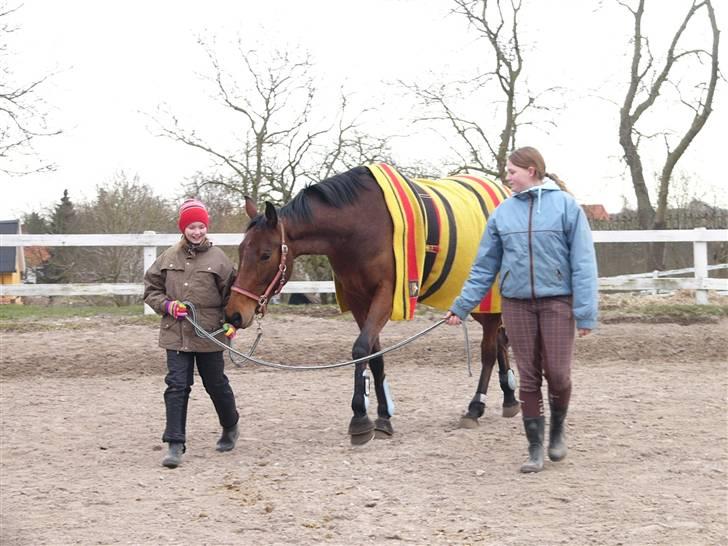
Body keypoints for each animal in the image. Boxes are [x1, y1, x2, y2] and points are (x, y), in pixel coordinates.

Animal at [225, 163, 520, 442]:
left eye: (265, 254)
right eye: (241, 249)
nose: (235, 313)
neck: (358, 225)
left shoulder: (387, 295)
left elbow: (360, 348)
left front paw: (360, 419)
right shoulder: (359, 300)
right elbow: (374, 355)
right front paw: (383, 417)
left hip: (487, 298)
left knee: (488, 349)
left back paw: (475, 407)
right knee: (500, 340)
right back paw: (509, 397)